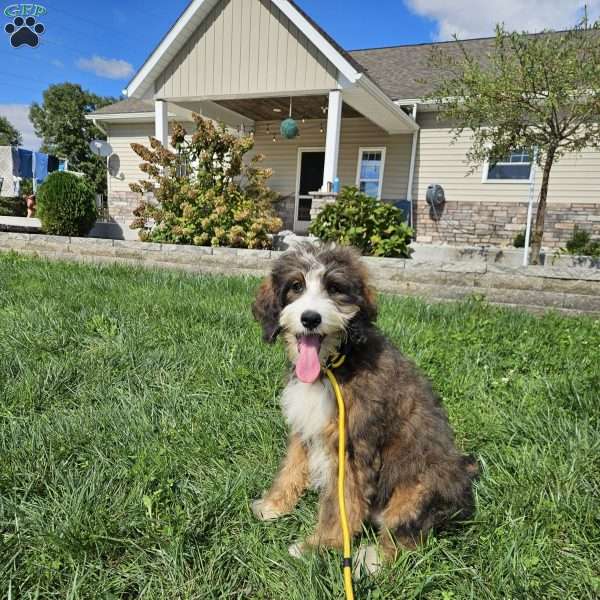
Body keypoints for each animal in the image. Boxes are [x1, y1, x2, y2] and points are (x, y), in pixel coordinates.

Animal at [252, 241, 478, 576]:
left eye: (334, 288)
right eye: (296, 286)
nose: (310, 318)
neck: (335, 364)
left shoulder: (352, 448)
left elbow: (341, 503)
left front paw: (317, 547)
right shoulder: (305, 428)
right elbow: (291, 469)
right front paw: (273, 506)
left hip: (420, 487)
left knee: (407, 536)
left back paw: (371, 559)